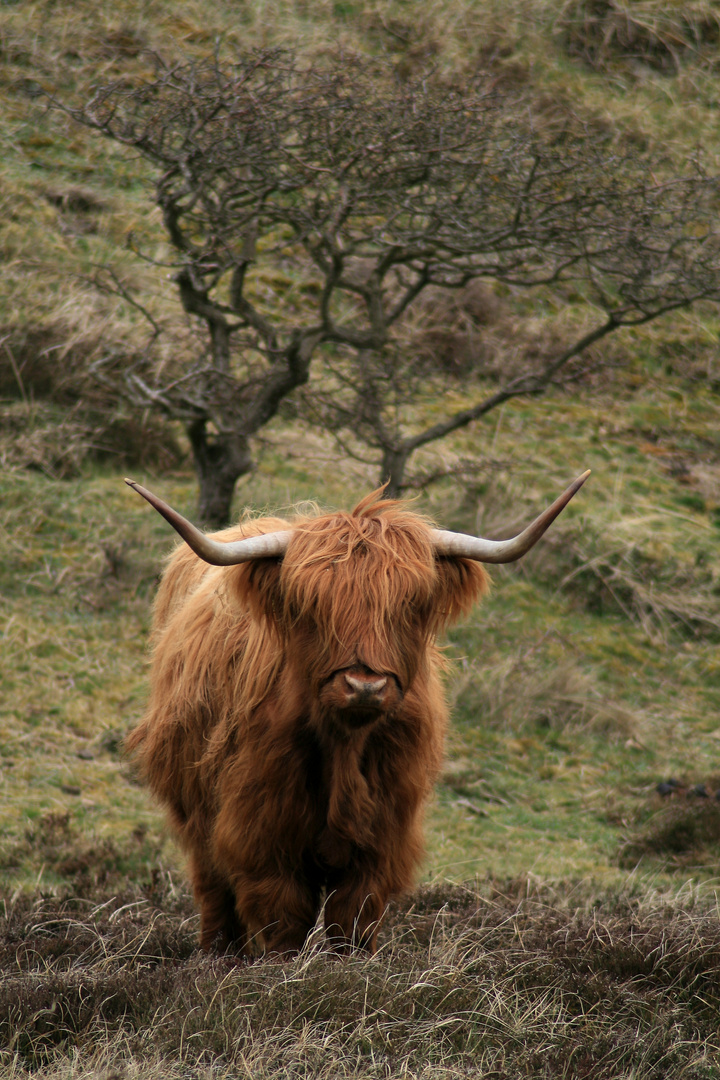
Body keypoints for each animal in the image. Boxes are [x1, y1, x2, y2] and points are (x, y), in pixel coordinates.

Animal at [126, 473, 587, 954]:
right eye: (311, 605)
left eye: (411, 604)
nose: (365, 685)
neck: (343, 748)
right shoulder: (263, 836)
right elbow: (281, 920)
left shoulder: (382, 841)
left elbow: (353, 919)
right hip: (195, 809)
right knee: (212, 888)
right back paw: (217, 954)